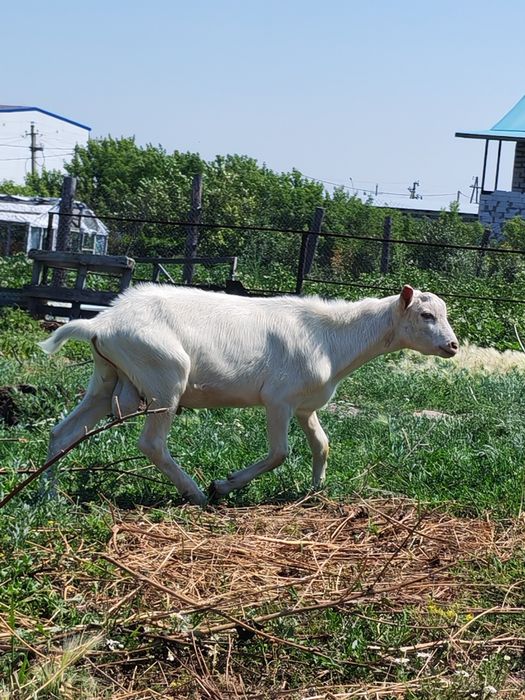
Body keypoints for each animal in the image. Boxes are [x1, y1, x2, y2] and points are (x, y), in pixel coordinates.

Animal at [39, 283, 458, 506]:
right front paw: (224, 484)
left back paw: (50, 494)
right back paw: (196, 493)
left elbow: (322, 444)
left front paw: (315, 490)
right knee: (152, 444)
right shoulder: (279, 400)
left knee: (63, 432)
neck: (332, 339)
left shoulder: (305, 405)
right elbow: (279, 453)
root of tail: (101, 321)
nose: (453, 345)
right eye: (426, 316)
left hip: (107, 379)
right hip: (165, 379)